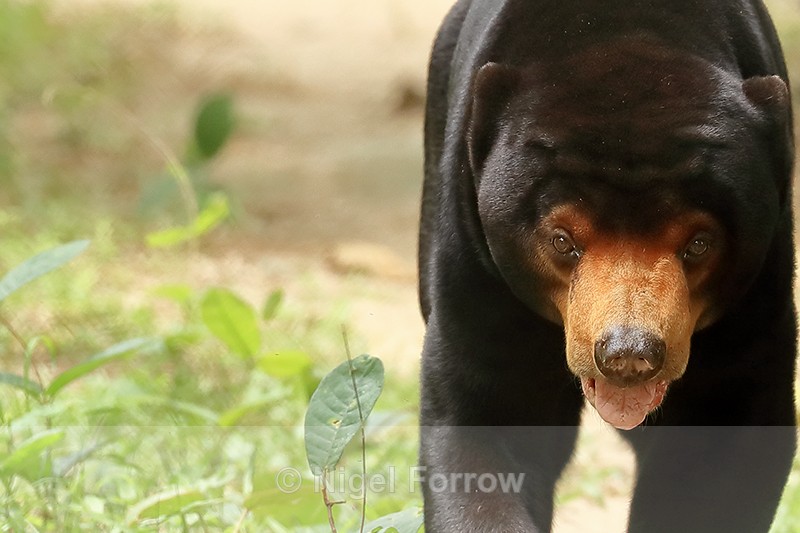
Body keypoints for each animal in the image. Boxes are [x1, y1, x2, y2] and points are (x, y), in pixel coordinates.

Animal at [417, 1, 796, 532]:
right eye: (562, 240)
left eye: (699, 243)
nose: (629, 354)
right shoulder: (479, 268)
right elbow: (485, 420)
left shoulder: (756, 298)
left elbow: (720, 455)